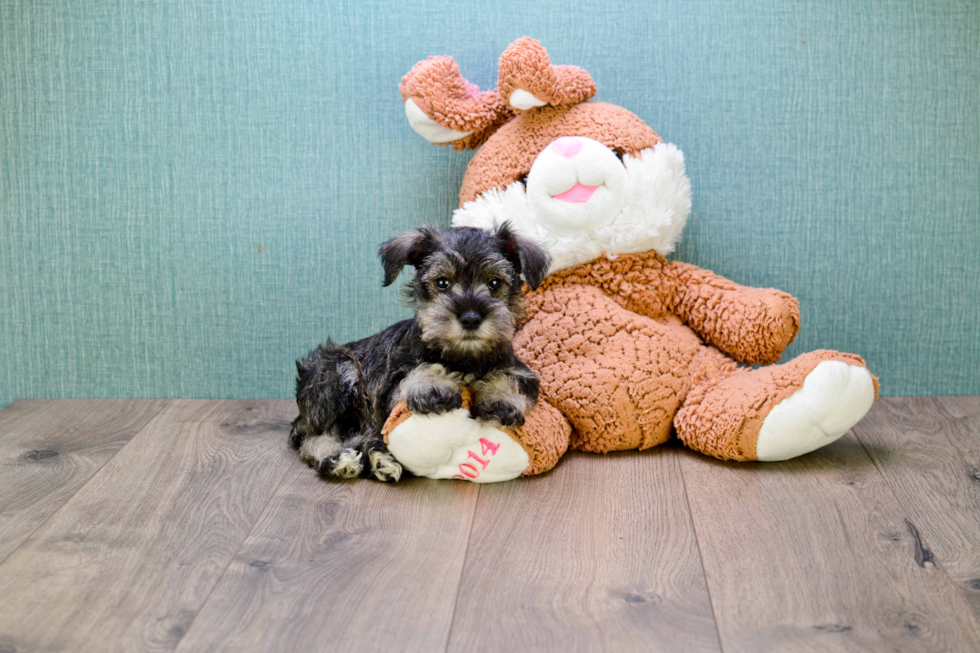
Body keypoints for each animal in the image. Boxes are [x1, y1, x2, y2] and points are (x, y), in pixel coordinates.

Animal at [290, 222, 552, 482]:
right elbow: (421, 368)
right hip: (336, 370)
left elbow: (507, 376)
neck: (463, 358)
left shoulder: (521, 370)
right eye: (442, 282)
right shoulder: (388, 386)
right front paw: (433, 386)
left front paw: (500, 399)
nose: (470, 318)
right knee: (315, 438)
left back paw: (380, 460)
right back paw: (339, 460)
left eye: (495, 283)